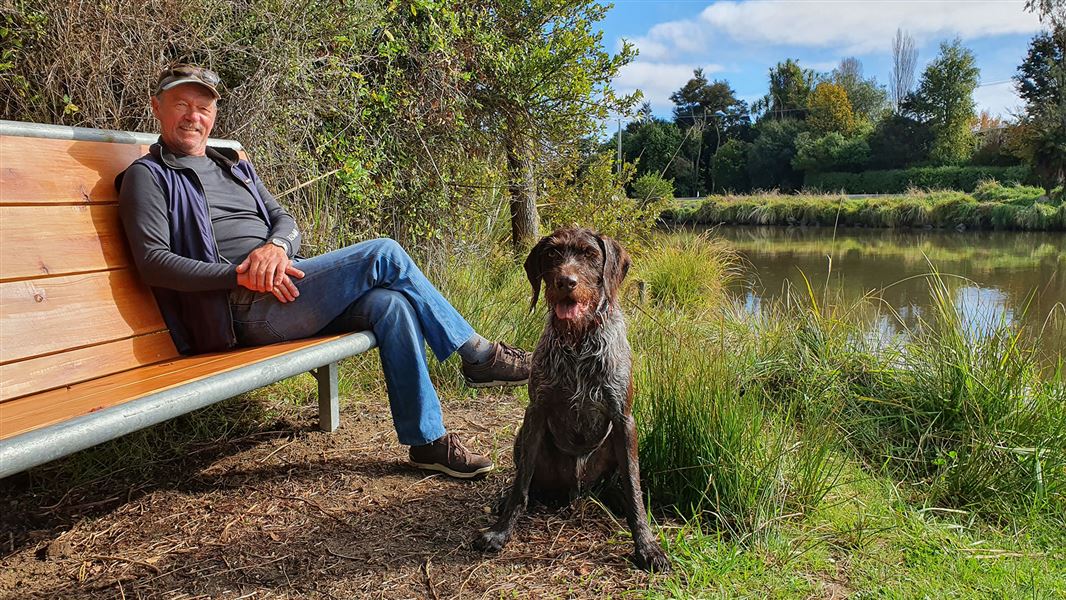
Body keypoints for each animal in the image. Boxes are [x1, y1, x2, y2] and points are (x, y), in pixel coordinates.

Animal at [473, 229, 665, 571]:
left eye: (590, 254)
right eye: (552, 254)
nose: (566, 281)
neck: (578, 341)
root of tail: (574, 491)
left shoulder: (623, 419)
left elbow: (634, 489)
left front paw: (646, 545)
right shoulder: (535, 413)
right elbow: (521, 485)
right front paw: (501, 531)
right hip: (524, 439)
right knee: (530, 483)